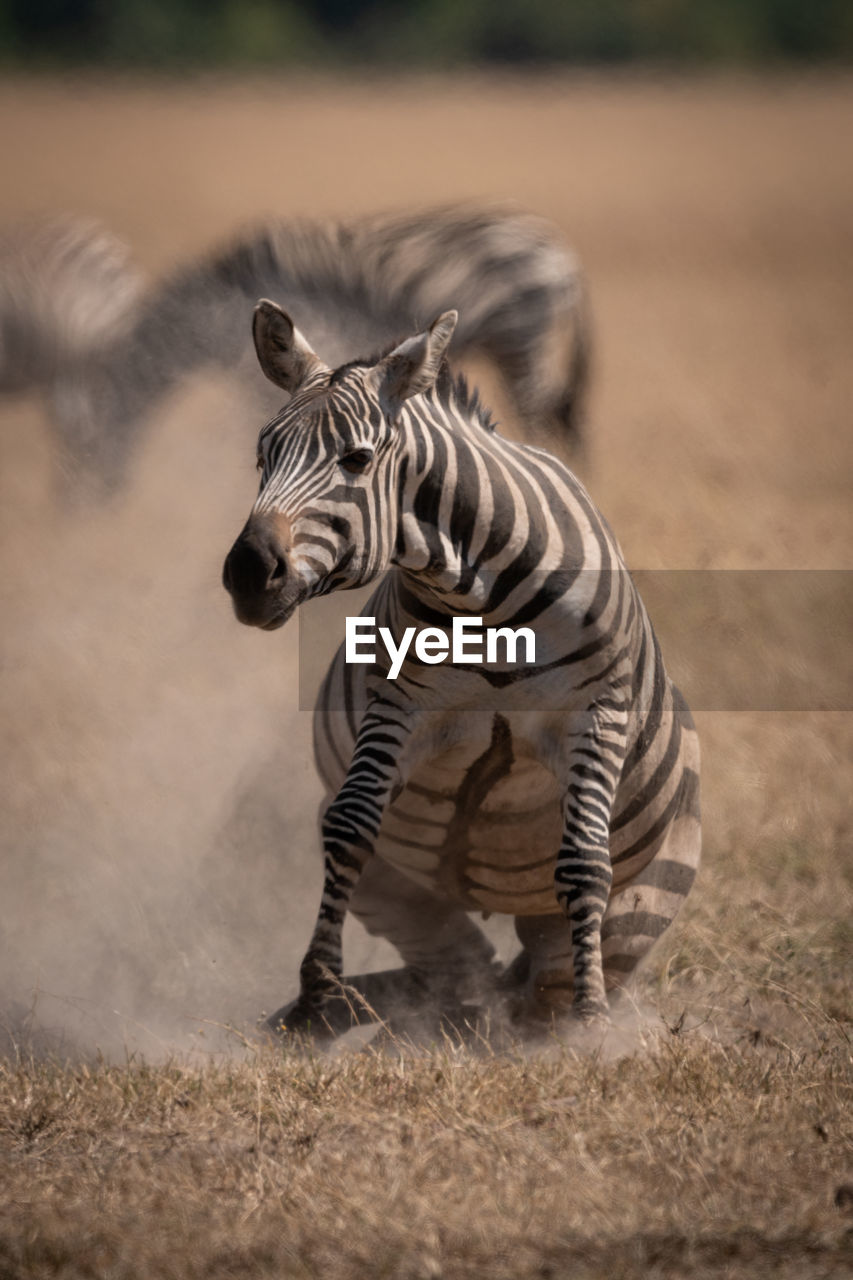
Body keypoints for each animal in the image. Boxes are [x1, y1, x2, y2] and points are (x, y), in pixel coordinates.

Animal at [0, 204, 584, 488]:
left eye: (78, 456)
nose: (77, 517)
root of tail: (559, 253)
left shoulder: (250, 375)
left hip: (520, 340)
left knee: (540, 425)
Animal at [222, 299, 701, 1039]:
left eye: (356, 459)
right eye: (262, 454)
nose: (248, 576)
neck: (482, 597)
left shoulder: (594, 714)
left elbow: (585, 861)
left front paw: (592, 1027)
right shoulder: (399, 706)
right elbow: (349, 827)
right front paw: (313, 997)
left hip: (645, 898)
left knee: (530, 983)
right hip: (402, 894)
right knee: (461, 978)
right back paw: (352, 1020)